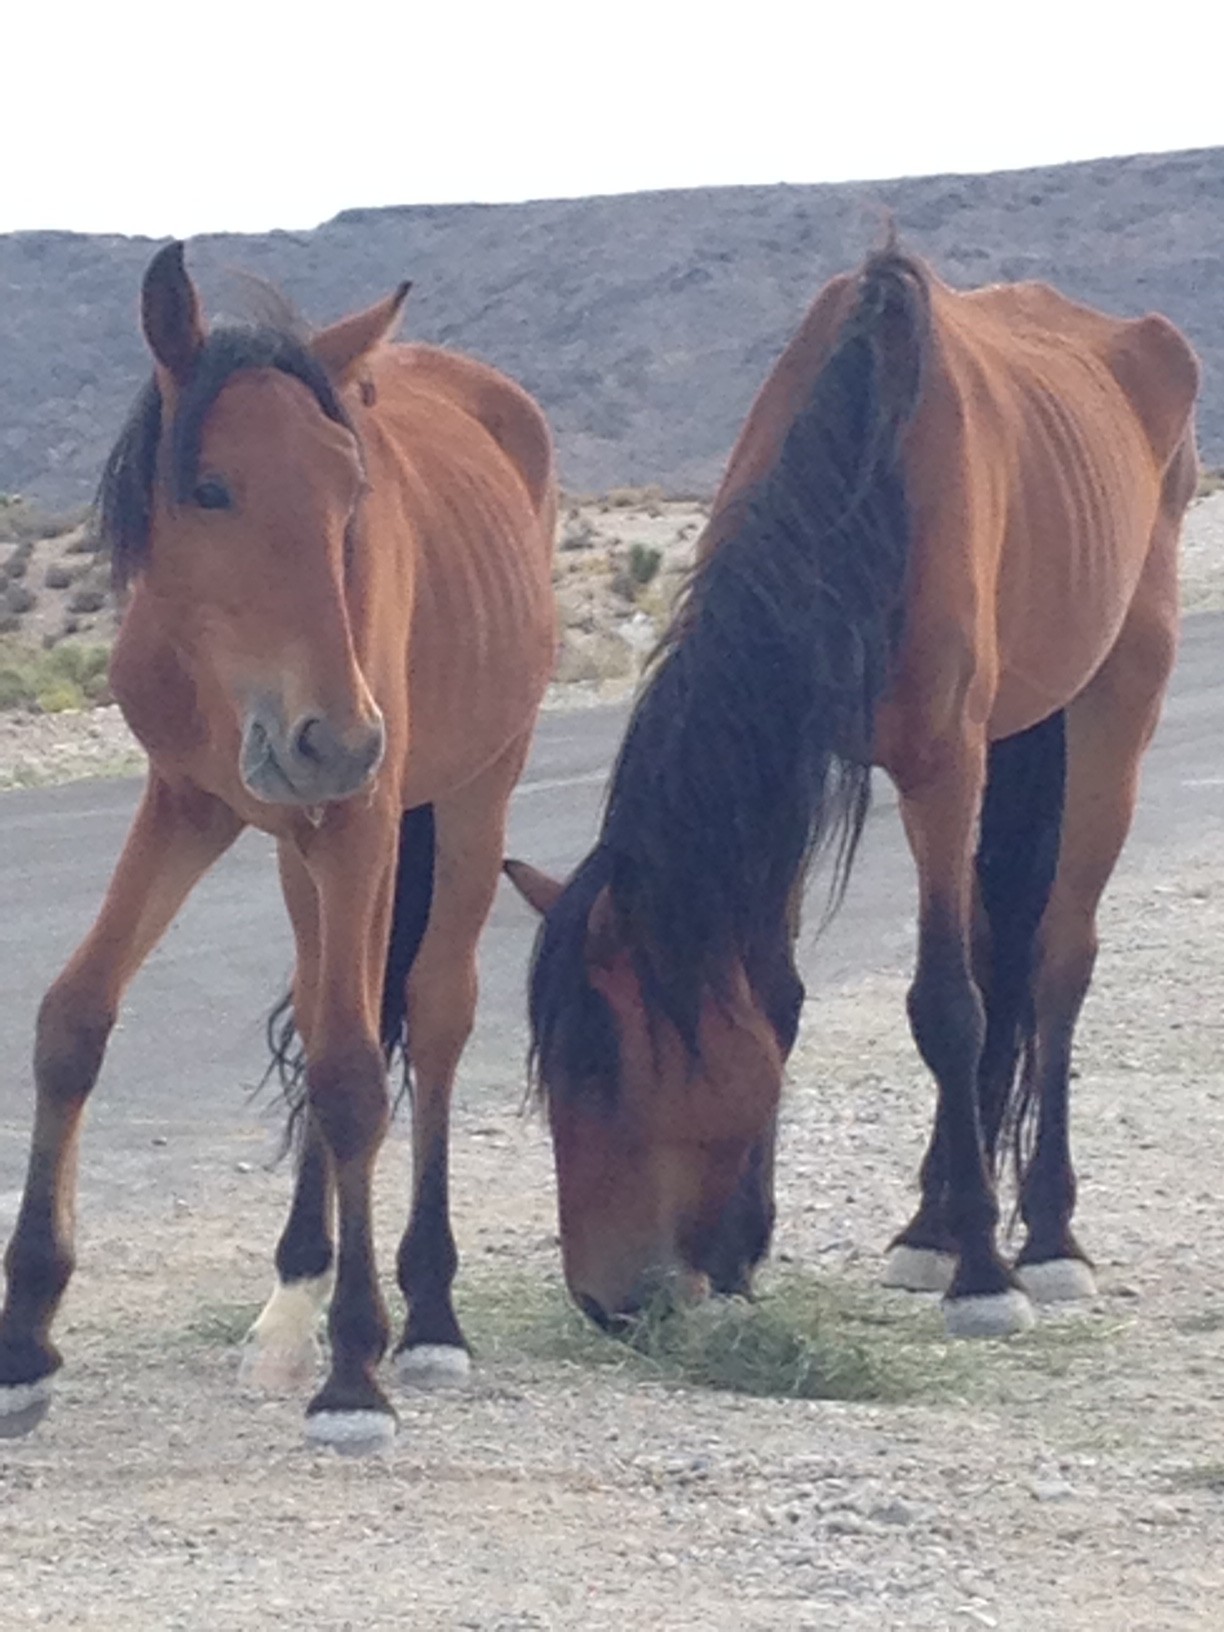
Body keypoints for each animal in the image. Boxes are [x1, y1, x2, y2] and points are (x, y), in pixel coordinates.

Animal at [0, 238, 554, 1442]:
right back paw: (294, 1293)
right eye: (210, 488)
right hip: (306, 842)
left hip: (472, 793)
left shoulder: (357, 819)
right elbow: (74, 1017)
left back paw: (428, 1318)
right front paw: (23, 1340)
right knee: (319, 1002)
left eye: (352, 491)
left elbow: (352, 1073)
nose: (336, 739)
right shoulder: (187, 804)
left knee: (433, 1018)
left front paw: (357, 1372)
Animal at [505, 241, 1201, 1338]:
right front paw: (745, 1249)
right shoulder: (795, 761)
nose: (605, 1303)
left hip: (1116, 701)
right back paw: (933, 1224)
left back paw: (1045, 1240)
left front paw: (985, 1277)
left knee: (1056, 966)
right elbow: (779, 994)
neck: (859, 482)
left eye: (601, 1062)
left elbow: (948, 1007)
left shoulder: (942, 767)